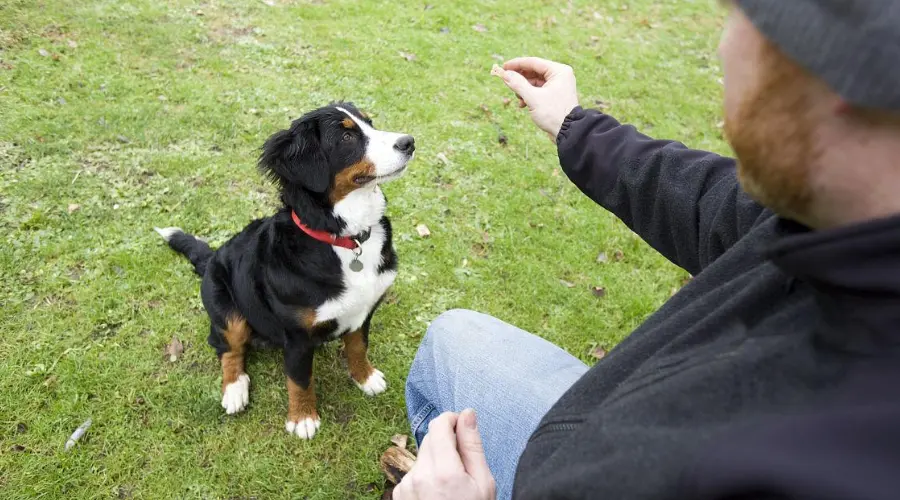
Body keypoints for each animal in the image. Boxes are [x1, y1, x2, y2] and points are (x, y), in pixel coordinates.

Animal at [155, 103, 414, 440]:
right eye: (346, 136)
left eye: (370, 123)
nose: (409, 142)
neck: (345, 240)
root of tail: (212, 257)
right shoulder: (297, 336)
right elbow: (300, 379)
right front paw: (302, 418)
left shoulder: (364, 311)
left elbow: (358, 347)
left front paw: (365, 377)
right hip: (226, 309)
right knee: (227, 347)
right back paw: (235, 389)